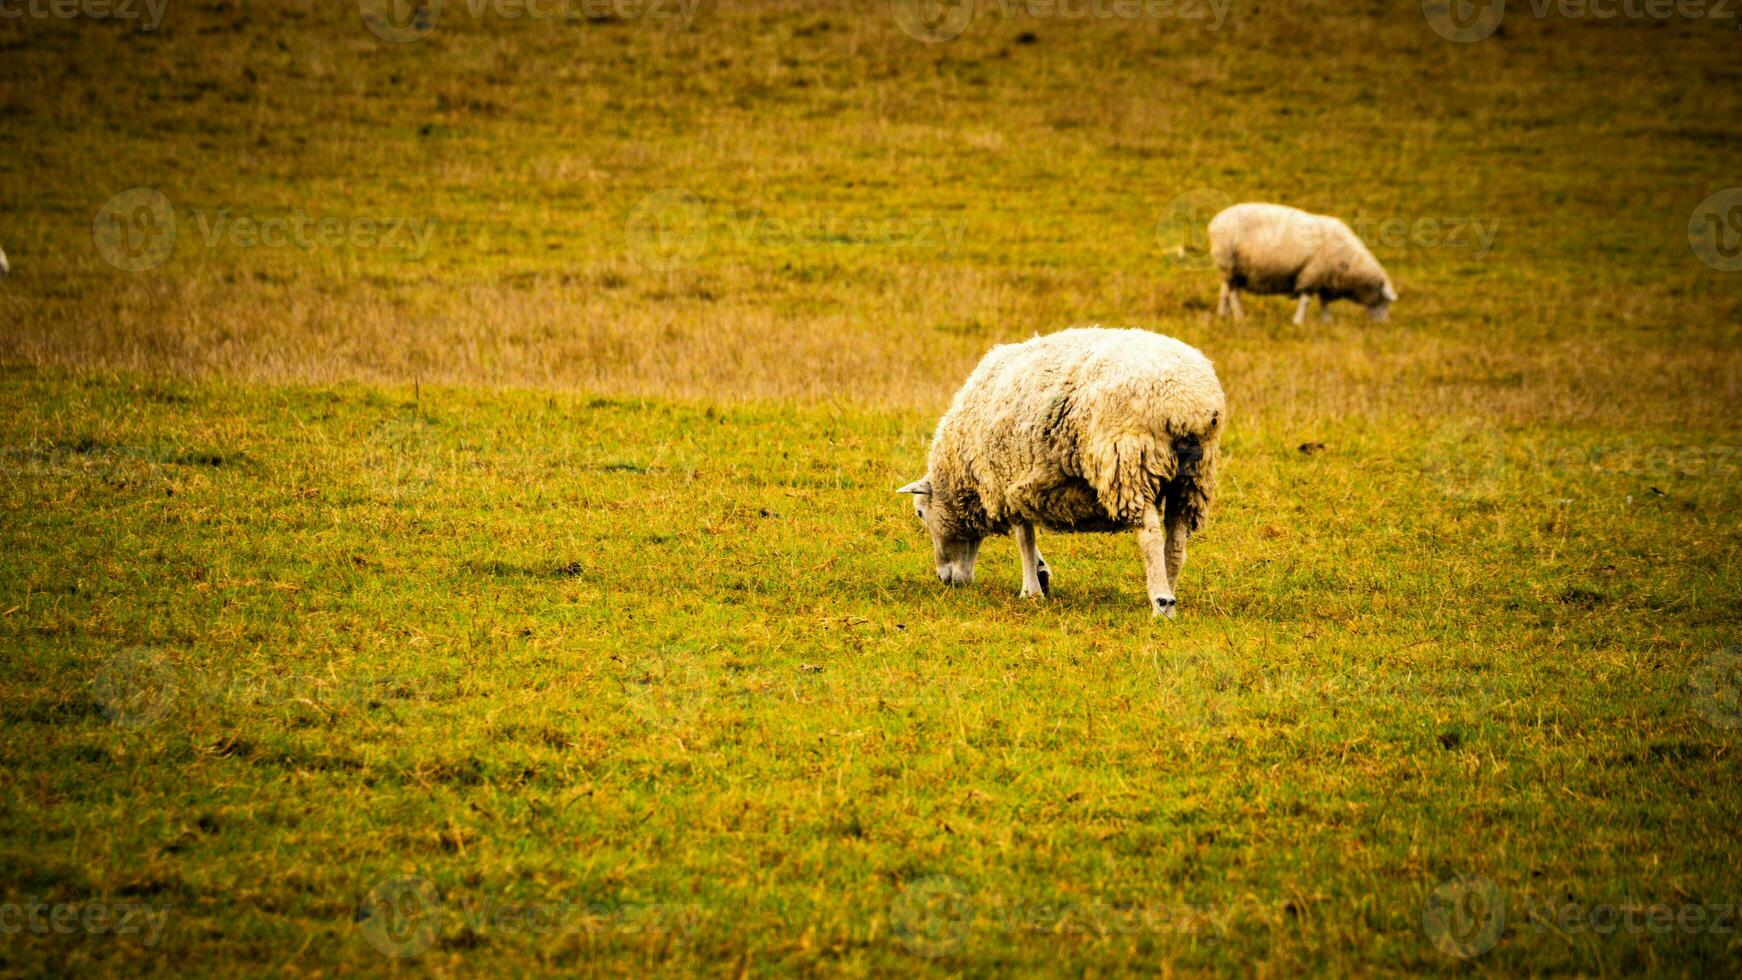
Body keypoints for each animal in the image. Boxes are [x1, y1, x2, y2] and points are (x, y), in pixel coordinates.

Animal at [898, 328, 1226, 619]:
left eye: (920, 513)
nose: (946, 580)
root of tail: (1189, 403)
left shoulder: (1007, 481)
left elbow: (1024, 538)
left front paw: (1030, 590)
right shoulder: (1021, 485)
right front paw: (1041, 574)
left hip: (1129, 462)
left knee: (1151, 538)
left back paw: (1161, 603)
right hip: (1192, 477)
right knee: (1176, 544)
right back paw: (1170, 591)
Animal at [1212, 203, 1400, 325]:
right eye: (1385, 300)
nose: (1385, 324)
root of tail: (1216, 220)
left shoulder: (1324, 279)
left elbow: (1324, 302)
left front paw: (1327, 322)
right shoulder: (1312, 274)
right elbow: (1306, 301)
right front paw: (1298, 321)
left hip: (1230, 268)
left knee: (1225, 290)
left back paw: (1223, 314)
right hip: (1230, 263)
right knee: (1233, 292)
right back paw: (1239, 316)